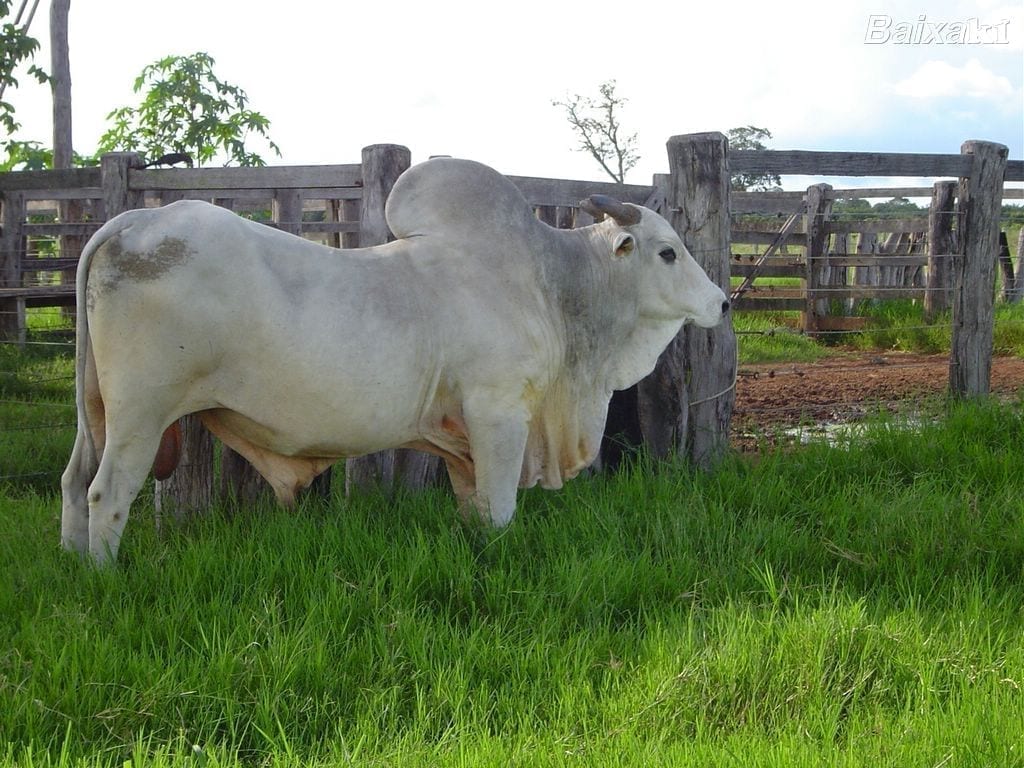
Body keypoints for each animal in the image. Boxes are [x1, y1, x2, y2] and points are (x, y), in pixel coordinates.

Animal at [59, 156, 729, 565]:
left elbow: (475, 509)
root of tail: (135, 218)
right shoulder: (500, 414)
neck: (552, 287)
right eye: (668, 252)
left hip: (97, 412)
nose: (722, 302)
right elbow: (501, 510)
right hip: (141, 414)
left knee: (72, 483)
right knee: (106, 492)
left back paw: (74, 568)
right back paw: (105, 578)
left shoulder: (462, 439)